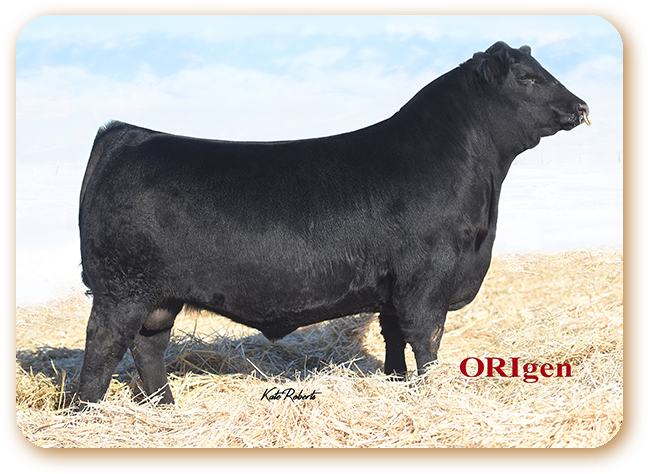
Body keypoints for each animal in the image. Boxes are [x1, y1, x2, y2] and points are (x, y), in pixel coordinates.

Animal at [76, 41, 589, 406]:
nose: (581, 106)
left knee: (149, 347)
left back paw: (164, 407)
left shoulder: (391, 288)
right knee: (102, 347)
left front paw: (396, 384)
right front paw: (429, 393)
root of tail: (125, 134)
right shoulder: (427, 279)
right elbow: (426, 340)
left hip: (159, 297)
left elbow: (395, 339)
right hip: (121, 290)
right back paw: (86, 415)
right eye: (527, 77)